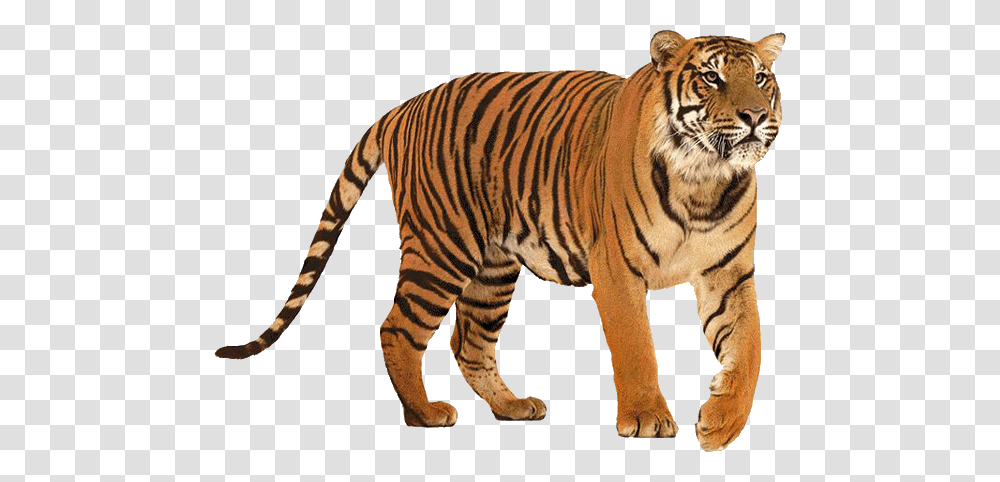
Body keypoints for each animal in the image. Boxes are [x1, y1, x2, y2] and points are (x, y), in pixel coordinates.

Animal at [217, 30, 784, 451]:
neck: (704, 179)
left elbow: (749, 349)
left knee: (468, 342)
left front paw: (721, 425)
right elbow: (636, 346)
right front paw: (647, 418)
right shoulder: (617, 272)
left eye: (760, 78)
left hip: (491, 269)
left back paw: (511, 407)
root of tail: (403, 107)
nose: (756, 116)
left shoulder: (729, 274)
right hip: (441, 248)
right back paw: (425, 413)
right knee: (398, 328)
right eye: (711, 77)